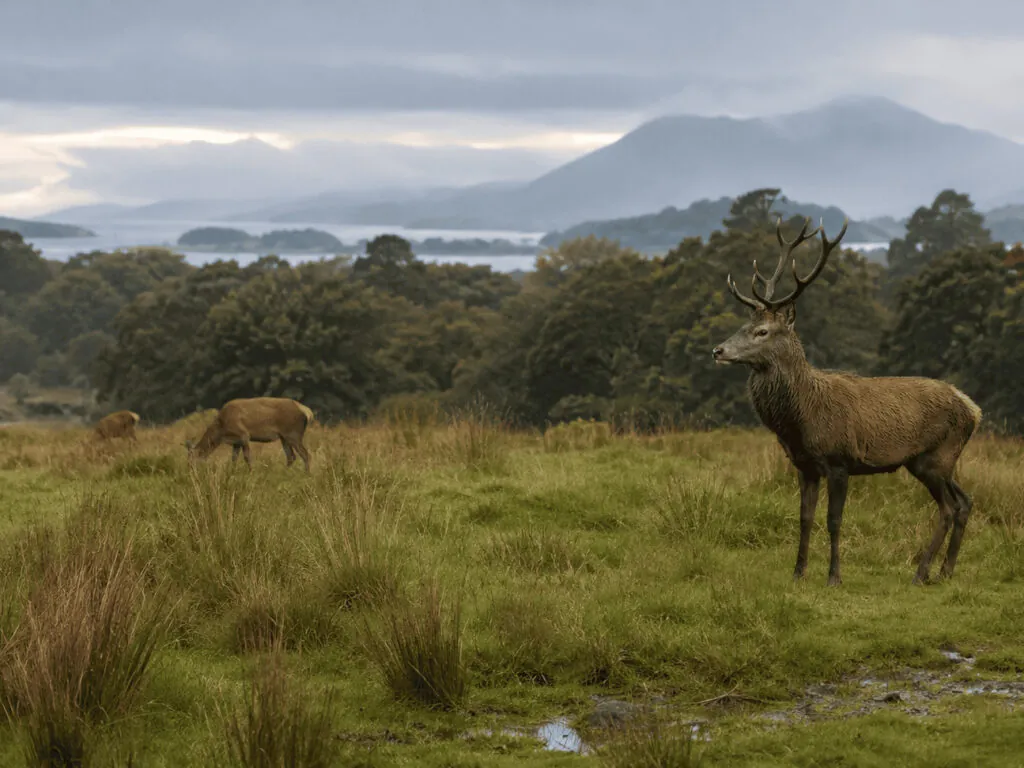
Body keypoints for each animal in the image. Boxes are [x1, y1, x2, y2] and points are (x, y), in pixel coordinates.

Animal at [184, 397, 315, 472]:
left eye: (191, 461)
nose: (189, 472)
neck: (221, 431)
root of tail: (307, 412)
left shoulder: (243, 435)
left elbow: (247, 457)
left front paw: (251, 472)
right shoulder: (235, 442)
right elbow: (234, 459)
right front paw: (231, 473)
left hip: (293, 433)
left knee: (305, 454)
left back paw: (307, 474)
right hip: (284, 437)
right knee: (291, 456)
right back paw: (284, 473)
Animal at [712, 217, 982, 586]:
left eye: (762, 331)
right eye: (744, 324)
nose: (718, 350)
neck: (801, 418)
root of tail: (973, 409)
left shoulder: (839, 462)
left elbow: (833, 520)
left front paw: (834, 577)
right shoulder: (805, 466)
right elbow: (804, 518)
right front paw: (798, 573)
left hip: (938, 457)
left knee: (948, 508)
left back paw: (921, 572)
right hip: (930, 461)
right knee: (965, 502)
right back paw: (945, 572)